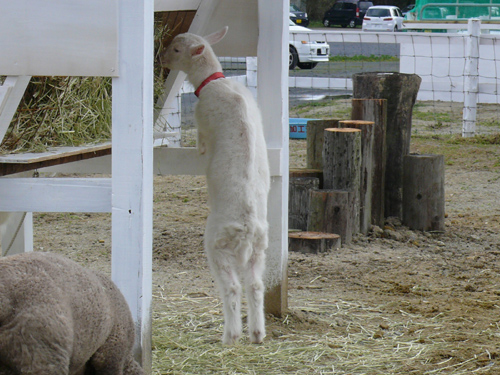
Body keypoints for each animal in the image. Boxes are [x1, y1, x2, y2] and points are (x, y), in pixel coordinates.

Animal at [161, 26, 272, 346]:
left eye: (176, 50)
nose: (161, 59)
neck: (214, 80)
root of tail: (246, 228)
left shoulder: (201, 120)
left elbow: (200, 143)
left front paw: (198, 150)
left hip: (217, 245)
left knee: (233, 287)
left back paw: (231, 335)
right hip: (260, 247)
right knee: (256, 284)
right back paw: (257, 333)